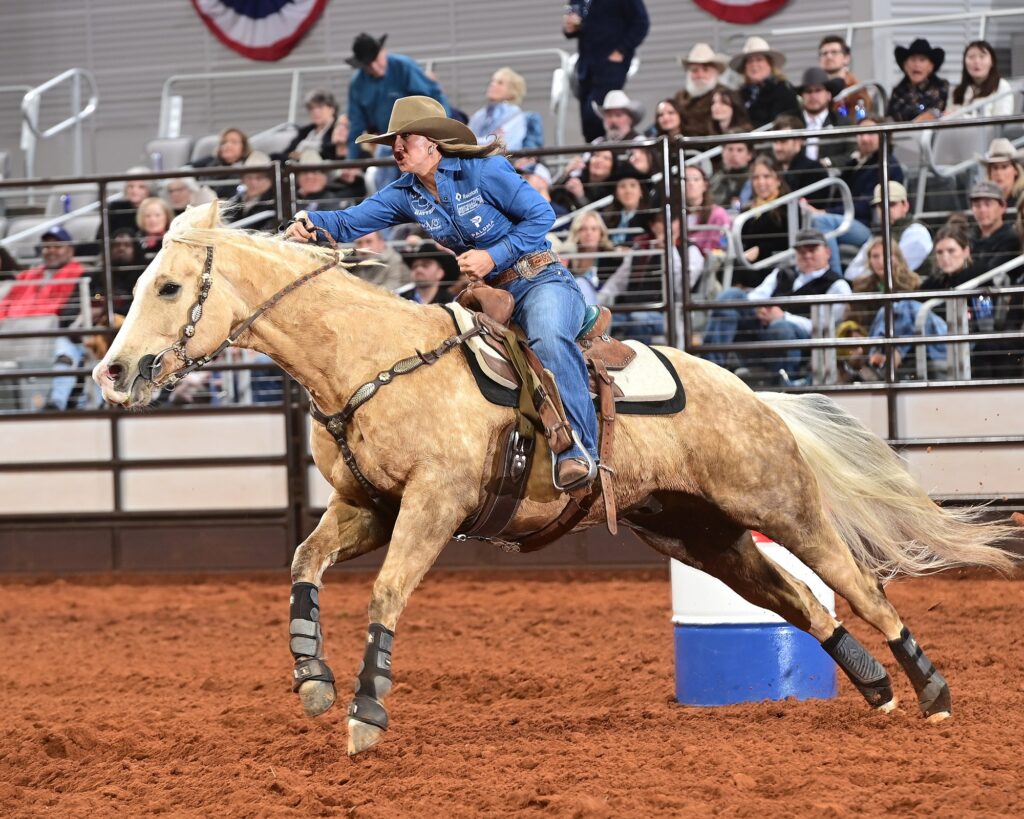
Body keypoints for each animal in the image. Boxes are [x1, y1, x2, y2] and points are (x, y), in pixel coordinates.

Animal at [93, 201, 1018, 756]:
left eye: (169, 285)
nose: (112, 372)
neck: (371, 359)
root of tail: (754, 395)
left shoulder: (432, 504)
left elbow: (388, 593)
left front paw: (365, 712)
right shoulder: (368, 506)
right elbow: (302, 564)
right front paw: (314, 681)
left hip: (778, 504)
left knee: (856, 583)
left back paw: (931, 690)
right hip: (701, 534)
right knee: (799, 600)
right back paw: (875, 688)